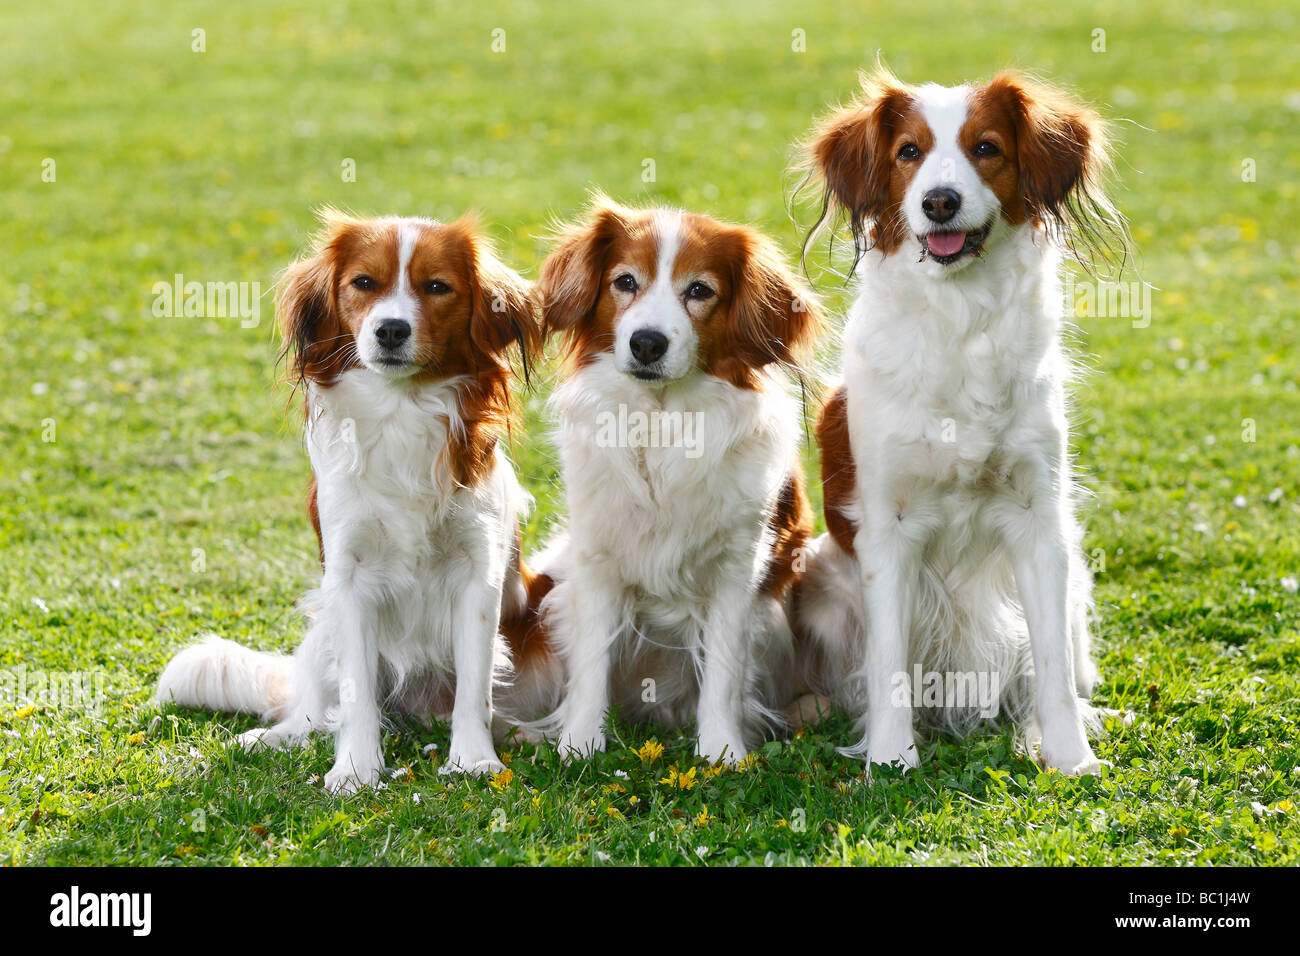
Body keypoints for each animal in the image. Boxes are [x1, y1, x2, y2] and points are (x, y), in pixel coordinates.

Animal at [154, 213, 556, 796]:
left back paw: (530, 733)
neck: (400, 411)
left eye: (437, 287)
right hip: (322, 630)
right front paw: (356, 770)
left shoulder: (478, 571)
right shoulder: (347, 576)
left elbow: (474, 688)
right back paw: (268, 738)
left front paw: (474, 761)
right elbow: (356, 694)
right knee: (312, 711)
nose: (390, 330)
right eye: (364, 283)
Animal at [520, 197, 816, 764]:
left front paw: (722, 752)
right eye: (625, 281)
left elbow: (723, 670)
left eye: (699, 290)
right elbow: (589, 665)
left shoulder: (736, 569)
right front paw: (579, 747)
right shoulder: (595, 559)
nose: (647, 343)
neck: (659, 423)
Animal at [790, 67, 1128, 775]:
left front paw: (1071, 758)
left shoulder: (1038, 520)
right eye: (908, 153)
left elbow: (1052, 668)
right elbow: (888, 663)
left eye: (987, 148)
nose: (940, 202)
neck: (959, 318)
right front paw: (890, 760)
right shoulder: (887, 529)